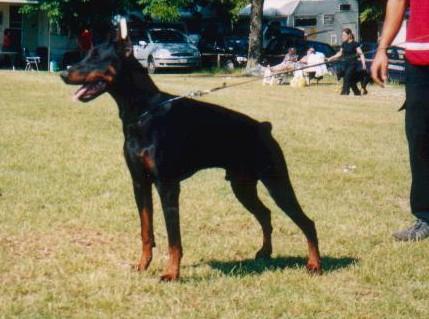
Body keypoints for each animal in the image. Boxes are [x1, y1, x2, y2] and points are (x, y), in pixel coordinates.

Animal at [61, 20, 320, 282]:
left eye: (96, 58)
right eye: (86, 54)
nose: (63, 73)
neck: (142, 113)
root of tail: (264, 127)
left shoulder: (167, 185)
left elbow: (173, 238)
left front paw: (171, 273)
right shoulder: (139, 182)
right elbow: (146, 230)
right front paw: (142, 265)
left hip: (276, 182)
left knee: (307, 222)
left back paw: (314, 265)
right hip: (242, 186)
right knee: (265, 214)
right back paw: (264, 253)